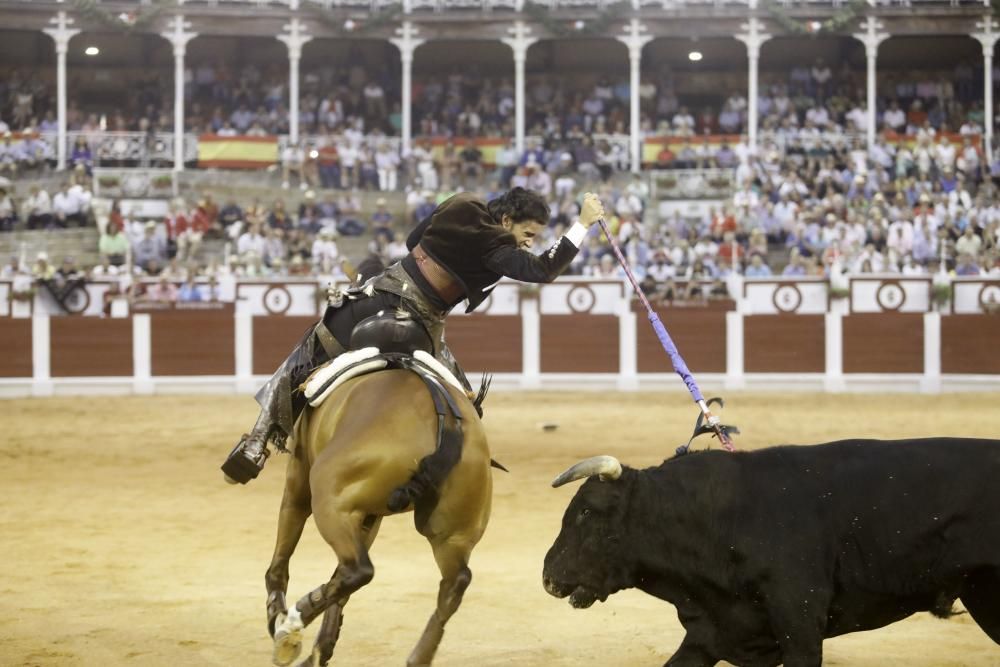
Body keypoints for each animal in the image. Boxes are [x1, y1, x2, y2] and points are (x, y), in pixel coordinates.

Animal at [262, 366, 488, 667]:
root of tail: (447, 423)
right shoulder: (369, 516)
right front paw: (321, 648)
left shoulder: (299, 481)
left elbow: (281, 560)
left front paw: (279, 617)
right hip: (453, 533)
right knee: (456, 581)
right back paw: (418, 656)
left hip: (329, 500)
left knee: (359, 569)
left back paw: (294, 622)